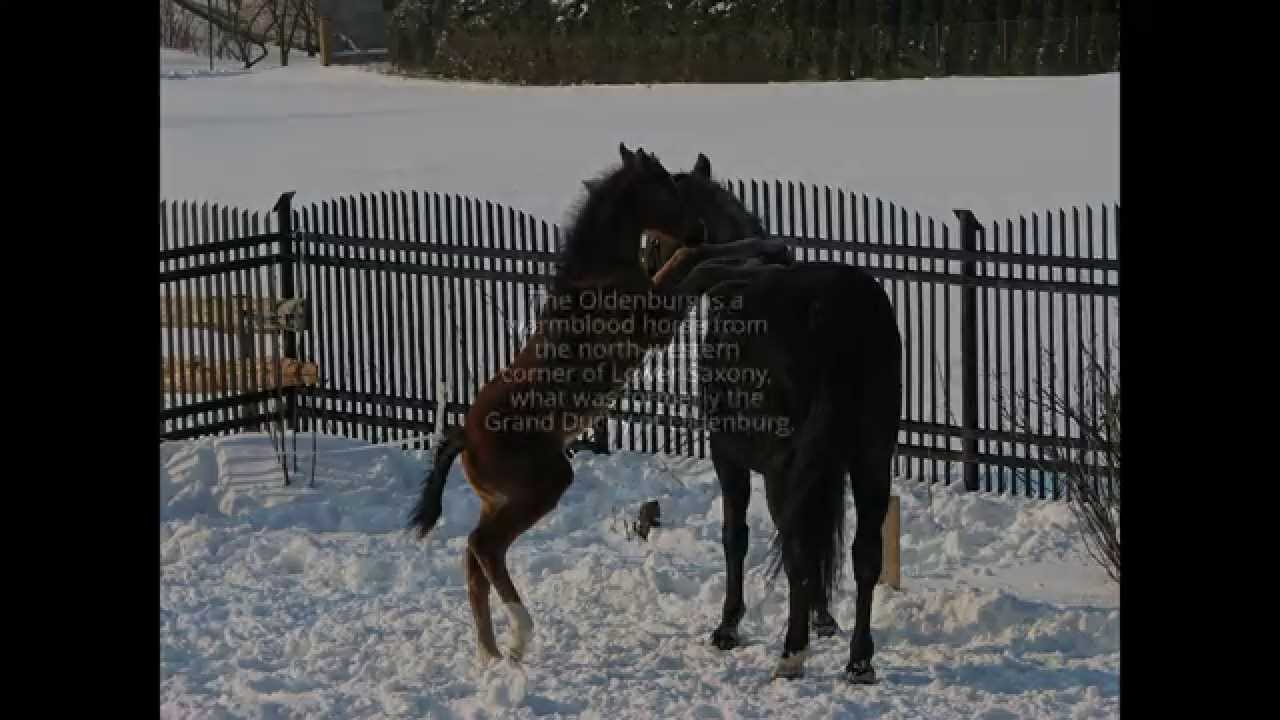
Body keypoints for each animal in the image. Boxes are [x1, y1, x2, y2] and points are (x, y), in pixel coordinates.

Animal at [408, 144, 794, 665]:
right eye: (666, 187)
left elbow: (691, 264)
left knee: (474, 560)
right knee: (483, 548)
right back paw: (521, 632)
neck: (599, 272)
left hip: (501, 497)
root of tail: (465, 435)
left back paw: (492, 652)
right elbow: (695, 263)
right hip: (544, 484)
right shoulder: (655, 324)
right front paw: (758, 250)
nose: (698, 226)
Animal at [659, 152, 904, 683]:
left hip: (789, 465)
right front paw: (824, 619)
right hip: (872, 457)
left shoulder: (731, 457)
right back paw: (859, 658)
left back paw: (792, 650)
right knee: (864, 554)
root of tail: (837, 313)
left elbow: (737, 537)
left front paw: (729, 626)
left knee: (794, 549)